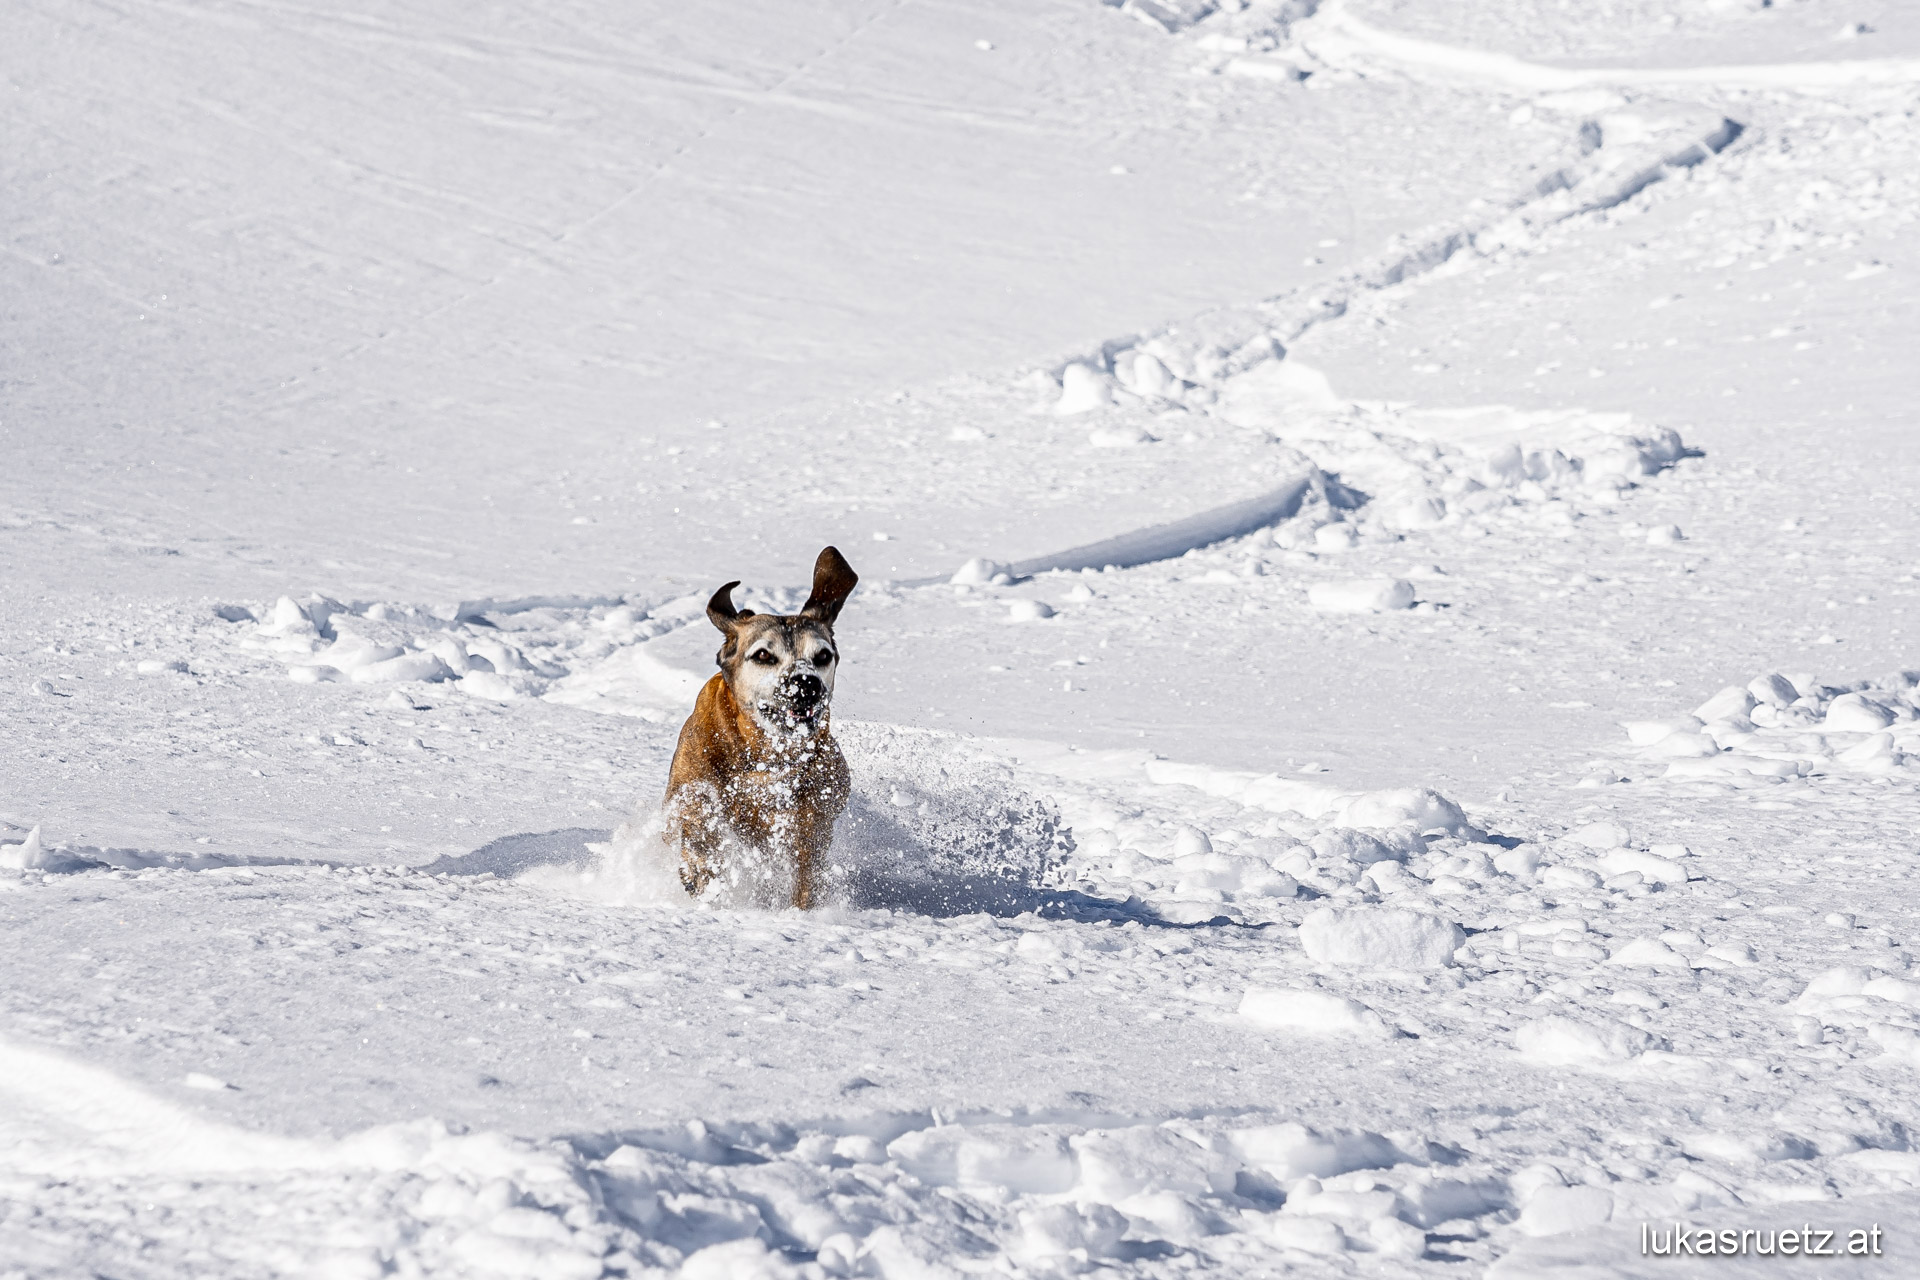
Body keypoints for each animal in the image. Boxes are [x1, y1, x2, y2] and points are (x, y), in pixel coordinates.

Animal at [668, 545, 864, 905]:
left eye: (823, 656)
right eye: (762, 655)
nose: (806, 683)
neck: (765, 755)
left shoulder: (818, 808)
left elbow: (806, 857)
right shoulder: (690, 779)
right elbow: (698, 810)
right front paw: (700, 869)